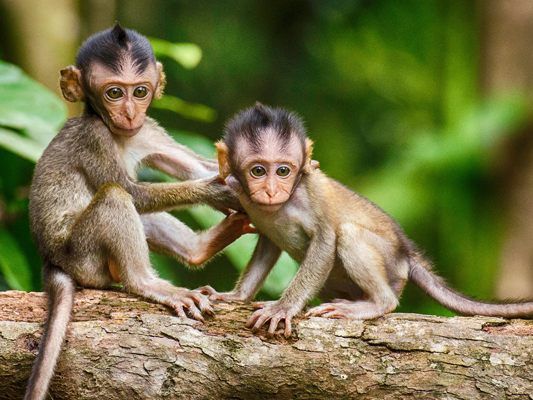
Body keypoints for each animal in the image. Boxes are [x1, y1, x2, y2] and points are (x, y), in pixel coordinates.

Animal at [24, 25, 249, 400]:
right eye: (114, 92)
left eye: (140, 91)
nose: (129, 113)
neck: (118, 134)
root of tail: (51, 260)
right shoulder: (94, 137)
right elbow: (131, 192)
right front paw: (218, 190)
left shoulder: (148, 130)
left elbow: (193, 166)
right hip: (84, 257)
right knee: (116, 198)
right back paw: (147, 282)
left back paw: (200, 248)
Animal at [205, 102, 532, 338]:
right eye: (258, 171)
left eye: (283, 171)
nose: (272, 190)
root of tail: (406, 254)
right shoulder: (241, 194)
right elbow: (267, 244)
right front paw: (235, 296)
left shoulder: (311, 192)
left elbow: (326, 240)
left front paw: (283, 307)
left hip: (391, 266)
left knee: (349, 235)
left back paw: (376, 303)